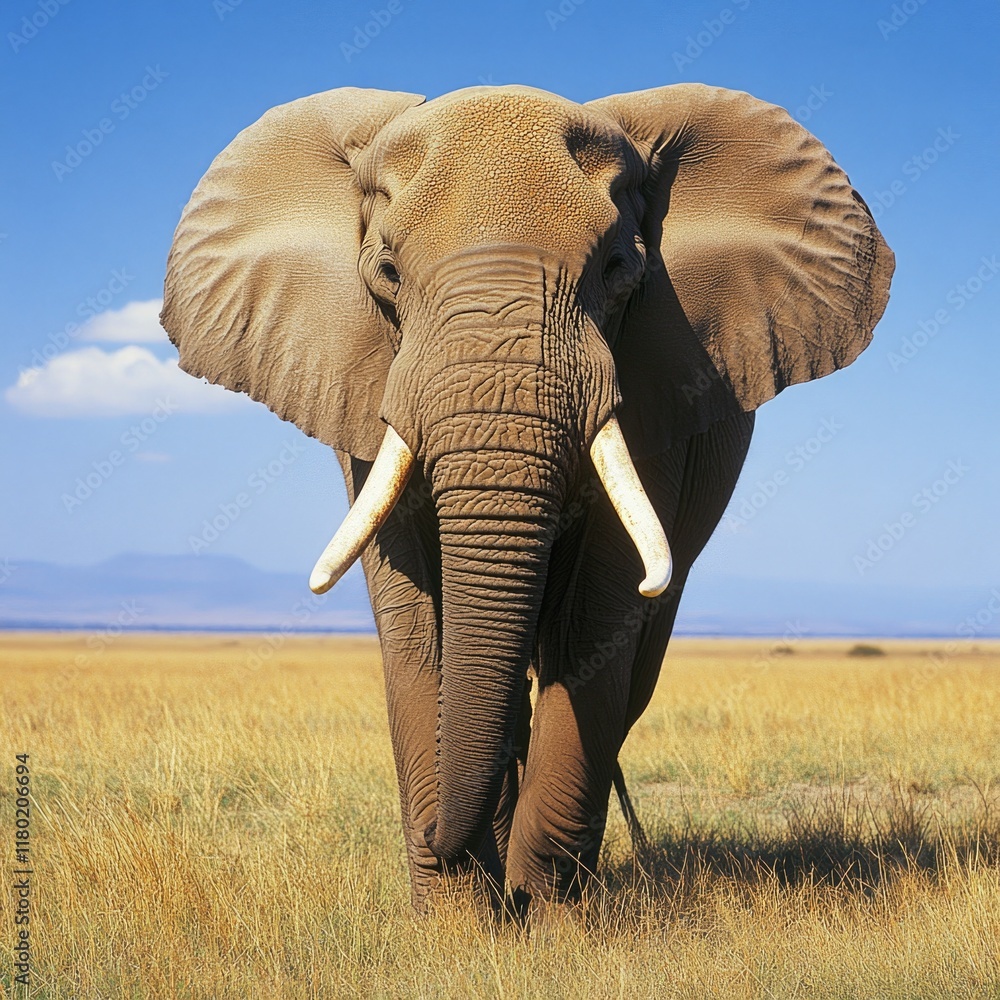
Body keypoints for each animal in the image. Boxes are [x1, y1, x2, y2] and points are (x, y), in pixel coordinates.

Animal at [161, 82, 893, 913]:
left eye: (617, 269)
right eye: (386, 271)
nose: (438, 841)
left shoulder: (656, 387)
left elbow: (598, 612)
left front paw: (546, 912)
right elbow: (416, 618)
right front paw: (459, 917)